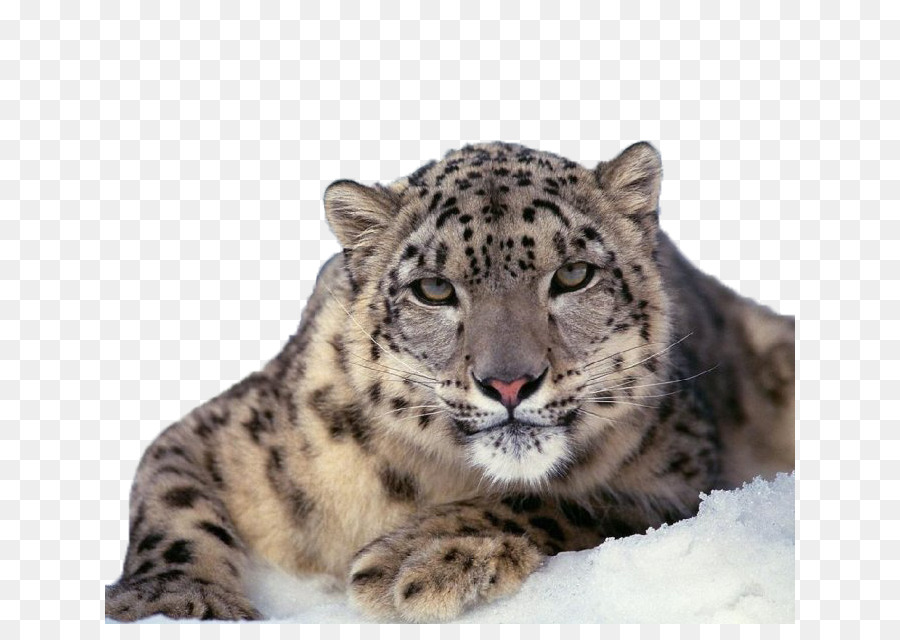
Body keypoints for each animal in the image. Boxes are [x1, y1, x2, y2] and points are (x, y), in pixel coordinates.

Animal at [105, 141, 795, 622]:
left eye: (573, 275)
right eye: (434, 288)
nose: (510, 382)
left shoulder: (683, 480)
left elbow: (569, 500)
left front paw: (418, 560)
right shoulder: (221, 434)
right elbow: (171, 503)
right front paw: (179, 605)